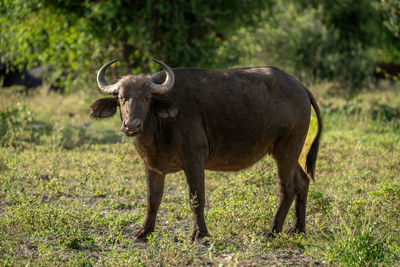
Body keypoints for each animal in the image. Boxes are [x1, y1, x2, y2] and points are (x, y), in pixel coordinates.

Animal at [90, 59, 322, 242]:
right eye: (121, 98)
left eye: (147, 98)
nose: (131, 125)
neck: (159, 127)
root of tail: (300, 87)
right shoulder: (152, 167)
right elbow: (152, 200)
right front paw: (143, 232)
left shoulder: (194, 161)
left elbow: (196, 199)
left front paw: (199, 234)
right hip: (284, 151)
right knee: (302, 181)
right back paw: (298, 228)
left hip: (286, 149)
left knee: (287, 188)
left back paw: (273, 231)